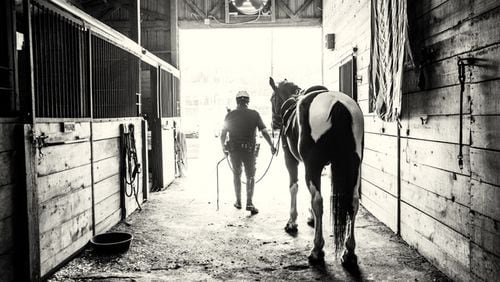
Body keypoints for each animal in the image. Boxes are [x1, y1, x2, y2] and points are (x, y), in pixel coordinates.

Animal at [270, 77, 364, 264]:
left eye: (272, 99)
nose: (274, 123)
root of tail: (338, 105)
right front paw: (310, 217)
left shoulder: (291, 159)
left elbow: (294, 187)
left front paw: (292, 222)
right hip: (354, 164)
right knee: (353, 201)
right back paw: (349, 251)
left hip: (312, 165)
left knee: (318, 201)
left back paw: (316, 249)